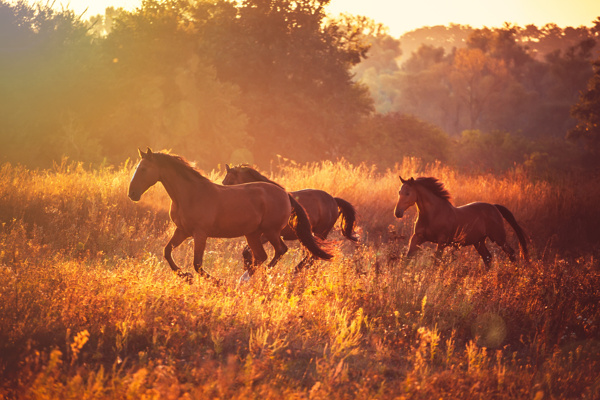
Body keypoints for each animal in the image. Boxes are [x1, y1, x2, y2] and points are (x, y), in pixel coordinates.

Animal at [127, 147, 332, 282]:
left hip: (271, 231)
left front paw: (218, 283)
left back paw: (256, 276)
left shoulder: (200, 233)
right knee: (261, 256)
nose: (132, 194)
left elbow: (197, 264)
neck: (190, 194)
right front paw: (185, 276)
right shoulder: (182, 231)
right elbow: (167, 252)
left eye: (143, 169)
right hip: (253, 234)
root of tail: (285, 194)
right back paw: (246, 279)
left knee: (280, 251)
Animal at [223, 164, 358, 270]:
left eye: (228, 180)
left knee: (313, 256)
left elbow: (249, 250)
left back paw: (296, 271)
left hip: (320, 233)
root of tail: (333, 200)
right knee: (313, 256)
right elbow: (247, 251)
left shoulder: (267, 233)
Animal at [394, 176, 528, 268]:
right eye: (399, 192)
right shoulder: (417, 238)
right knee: (488, 258)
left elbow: (437, 261)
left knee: (511, 253)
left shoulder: (442, 242)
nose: (397, 213)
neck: (432, 214)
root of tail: (494, 207)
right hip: (479, 242)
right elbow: (407, 257)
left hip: (499, 238)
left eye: (408, 193)